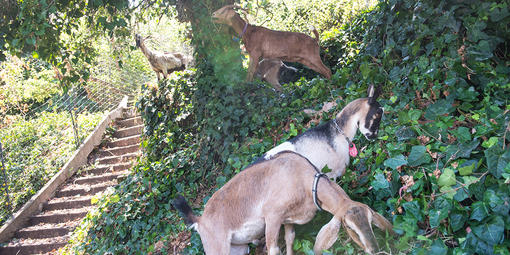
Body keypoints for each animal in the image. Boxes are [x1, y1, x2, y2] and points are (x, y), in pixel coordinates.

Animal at [173, 151, 392, 255]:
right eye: (349, 227)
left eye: (371, 221)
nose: (374, 249)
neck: (303, 180)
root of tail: (200, 220)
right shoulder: (272, 216)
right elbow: (274, 249)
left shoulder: (289, 220)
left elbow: (290, 240)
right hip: (216, 247)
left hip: (238, 248)